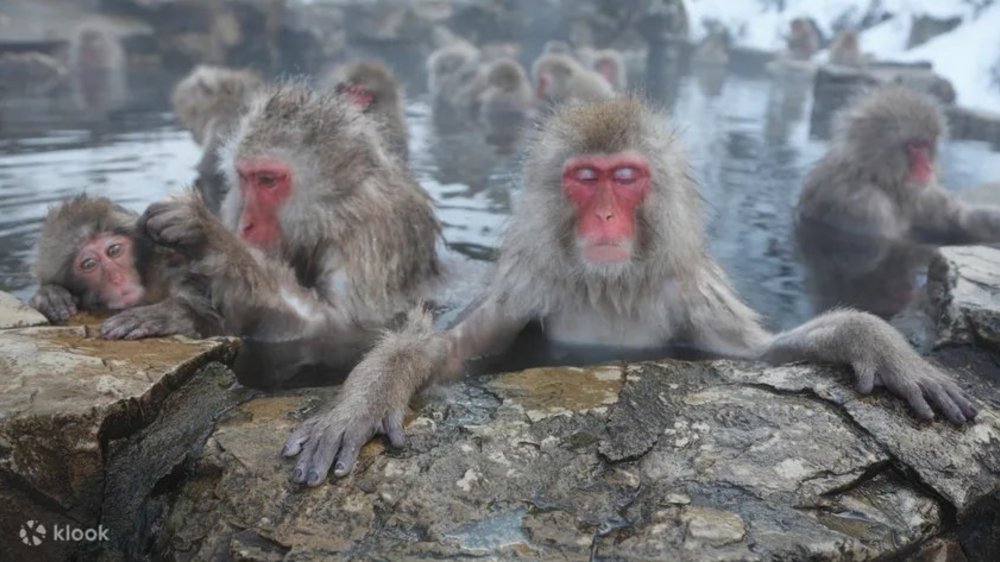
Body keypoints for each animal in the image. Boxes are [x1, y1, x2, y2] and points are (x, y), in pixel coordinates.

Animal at [139, 84, 442, 388]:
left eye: (268, 180)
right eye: (245, 177)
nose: (245, 225)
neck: (331, 212)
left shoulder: (368, 237)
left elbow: (334, 326)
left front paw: (208, 235)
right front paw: (186, 310)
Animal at [280, 97, 977, 487]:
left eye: (626, 177)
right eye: (586, 178)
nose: (608, 217)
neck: (609, 286)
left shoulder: (691, 293)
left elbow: (759, 354)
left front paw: (876, 344)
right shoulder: (528, 286)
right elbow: (445, 352)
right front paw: (363, 400)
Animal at [798, 87, 1000, 248]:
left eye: (926, 144)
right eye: (914, 146)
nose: (928, 168)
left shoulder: (924, 194)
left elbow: (960, 220)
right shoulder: (865, 204)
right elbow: (886, 242)